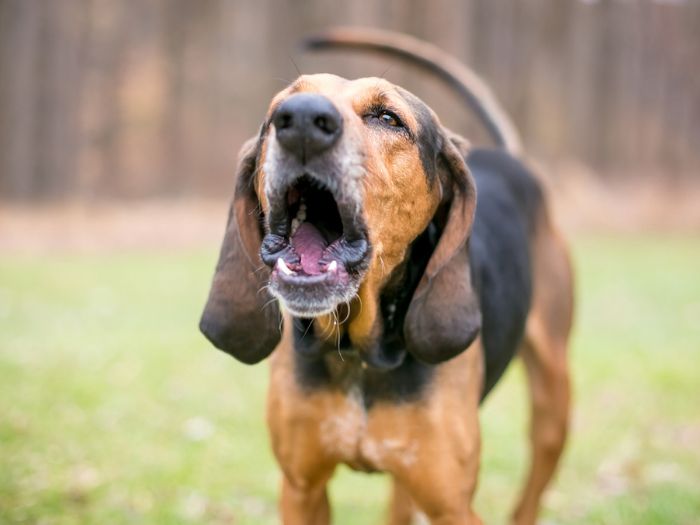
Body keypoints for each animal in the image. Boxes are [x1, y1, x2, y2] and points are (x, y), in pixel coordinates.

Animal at [200, 27, 572, 524]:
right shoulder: (301, 488)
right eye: (276, 110)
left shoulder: (453, 505)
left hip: (553, 403)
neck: (359, 354)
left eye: (387, 118)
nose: (299, 119)